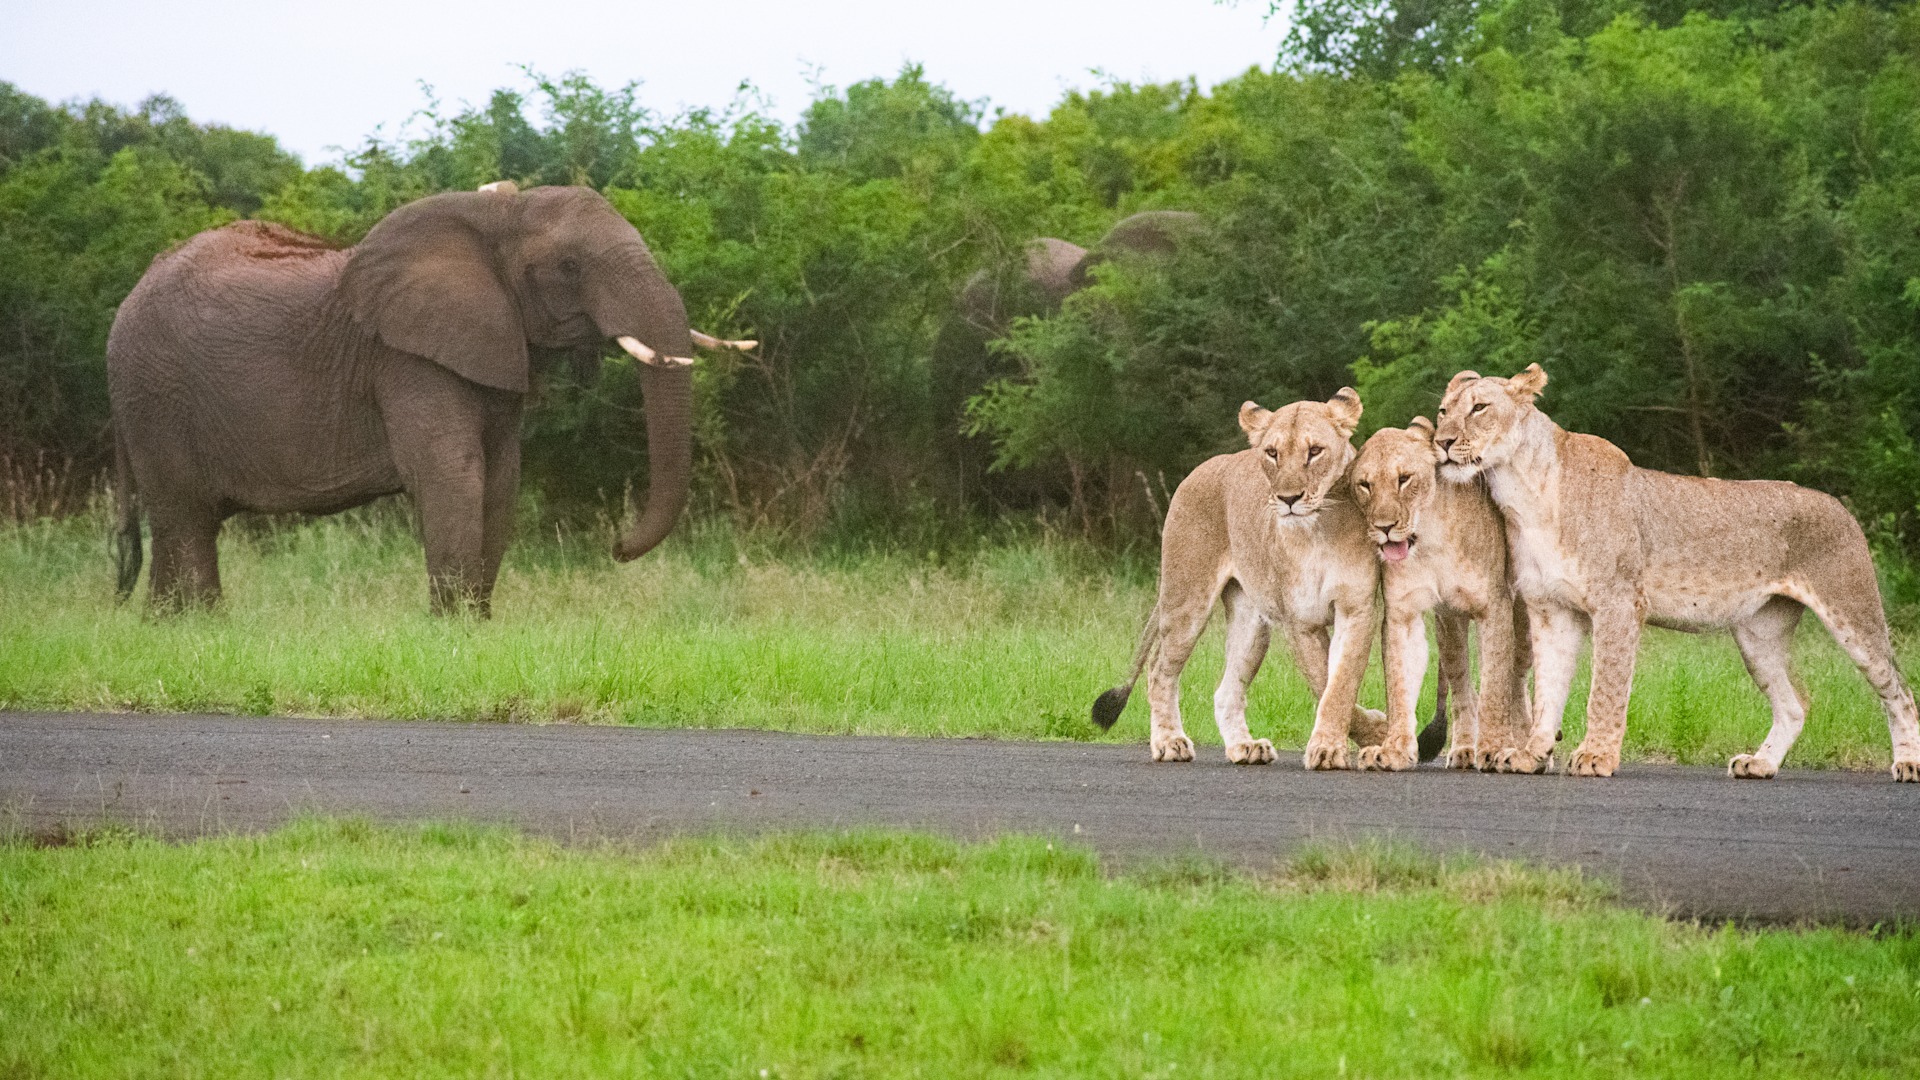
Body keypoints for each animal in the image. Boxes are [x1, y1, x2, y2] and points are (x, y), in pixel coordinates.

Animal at [106, 182, 748, 615]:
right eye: (570, 265)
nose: (615, 547)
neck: (496, 217)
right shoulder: (406, 359)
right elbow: (453, 473)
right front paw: (453, 631)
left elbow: (502, 478)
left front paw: (477, 627)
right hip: (154, 396)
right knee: (186, 520)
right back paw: (200, 626)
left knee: (179, 527)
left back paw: (167, 628)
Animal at [1091, 389, 1388, 769]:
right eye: (1272, 453)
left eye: (1315, 451)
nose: (1288, 499)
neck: (1321, 527)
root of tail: (1200, 469)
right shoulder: (1301, 622)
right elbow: (1325, 682)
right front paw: (1362, 737)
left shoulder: (1356, 609)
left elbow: (1341, 684)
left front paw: (1349, 741)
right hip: (1186, 600)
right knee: (1159, 669)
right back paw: (1170, 742)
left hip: (1251, 623)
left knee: (1225, 689)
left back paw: (1245, 747)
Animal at [1348, 419, 1532, 771]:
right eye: (1365, 485)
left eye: (1404, 479)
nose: (1385, 527)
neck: (1430, 537)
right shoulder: (1403, 614)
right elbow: (1399, 684)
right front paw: (1393, 749)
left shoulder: (1494, 608)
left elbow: (1495, 685)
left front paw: (1495, 747)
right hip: (1450, 629)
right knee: (1462, 687)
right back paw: (1463, 749)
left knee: (1517, 678)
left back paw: (1523, 739)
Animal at [1435, 364, 1920, 782]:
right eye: (1443, 411)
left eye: (1479, 408)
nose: (1441, 442)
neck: (1521, 491)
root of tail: (1840, 506)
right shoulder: (1550, 608)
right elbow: (1548, 692)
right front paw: (1531, 754)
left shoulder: (1618, 601)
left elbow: (1605, 688)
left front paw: (1595, 757)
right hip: (1758, 634)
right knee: (1795, 703)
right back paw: (1760, 764)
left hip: (1851, 610)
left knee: (1899, 690)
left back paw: (1908, 764)